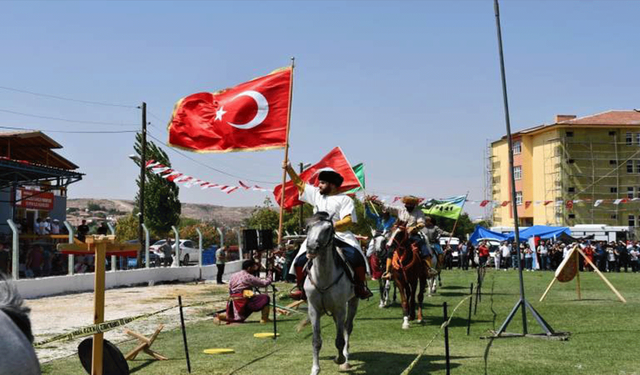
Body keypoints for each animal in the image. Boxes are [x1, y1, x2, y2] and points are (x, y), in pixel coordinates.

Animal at [304, 213, 360, 374]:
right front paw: (315, 368)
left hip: (353, 301)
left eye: (328, 228)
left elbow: (340, 339)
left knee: (347, 327)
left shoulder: (340, 308)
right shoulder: (313, 310)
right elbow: (316, 341)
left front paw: (340, 359)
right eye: (308, 227)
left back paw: (345, 355)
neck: (323, 277)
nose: (312, 248)